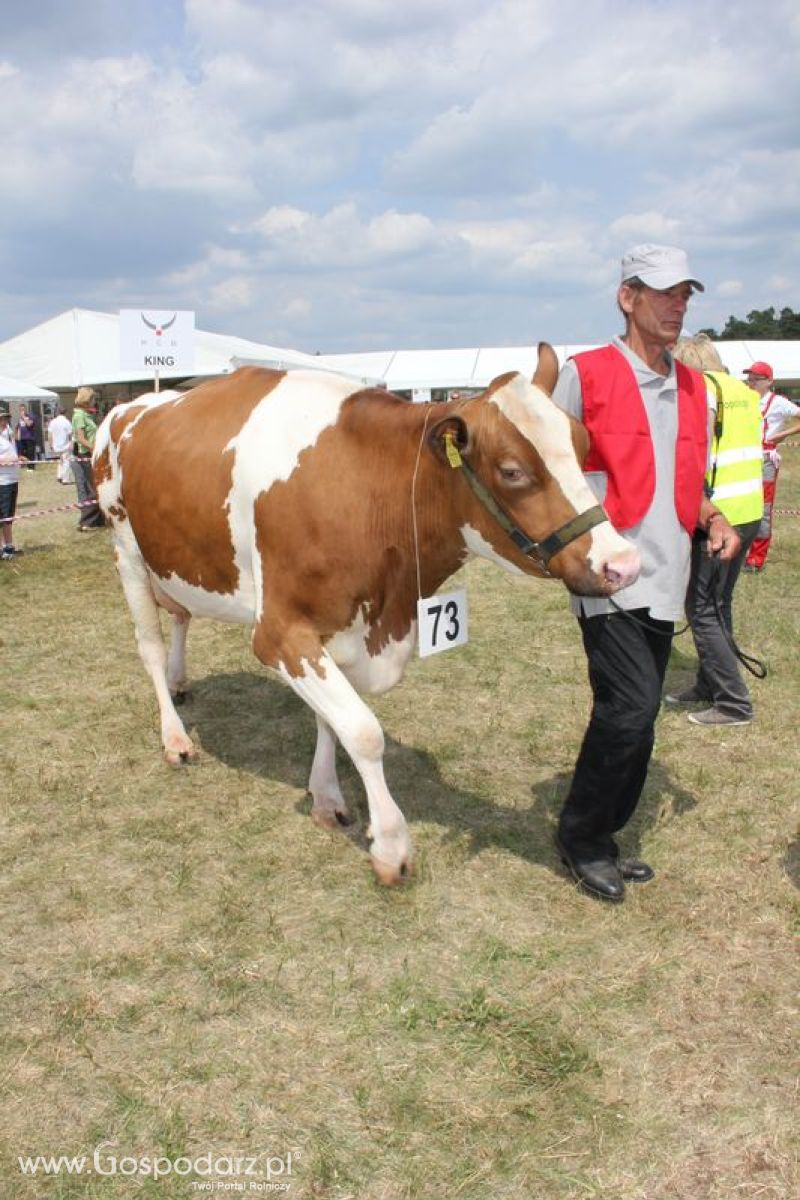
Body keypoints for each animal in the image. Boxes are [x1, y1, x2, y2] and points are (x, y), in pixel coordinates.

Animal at [94, 343, 642, 888]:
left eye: (583, 444)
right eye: (512, 471)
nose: (623, 564)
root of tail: (132, 405)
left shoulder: (339, 628)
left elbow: (330, 719)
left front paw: (326, 796)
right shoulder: (278, 632)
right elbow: (362, 730)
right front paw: (391, 846)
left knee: (181, 617)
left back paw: (180, 680)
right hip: (126, 549)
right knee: (149, 646)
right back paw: (174, 737)